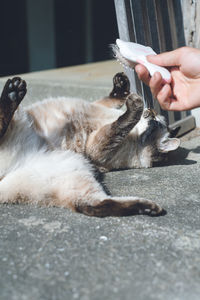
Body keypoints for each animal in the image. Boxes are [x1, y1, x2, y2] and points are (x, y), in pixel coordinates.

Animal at [0, 72, 180, 218]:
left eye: (155, 120)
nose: (151, 110)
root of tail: (8, 173)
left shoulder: (96, 147)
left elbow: (119, 124)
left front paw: (135, 103)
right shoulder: (99, 107)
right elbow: (112, 101)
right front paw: (121, 82)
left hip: (76, 169)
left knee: (92, 206)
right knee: (90, 206)